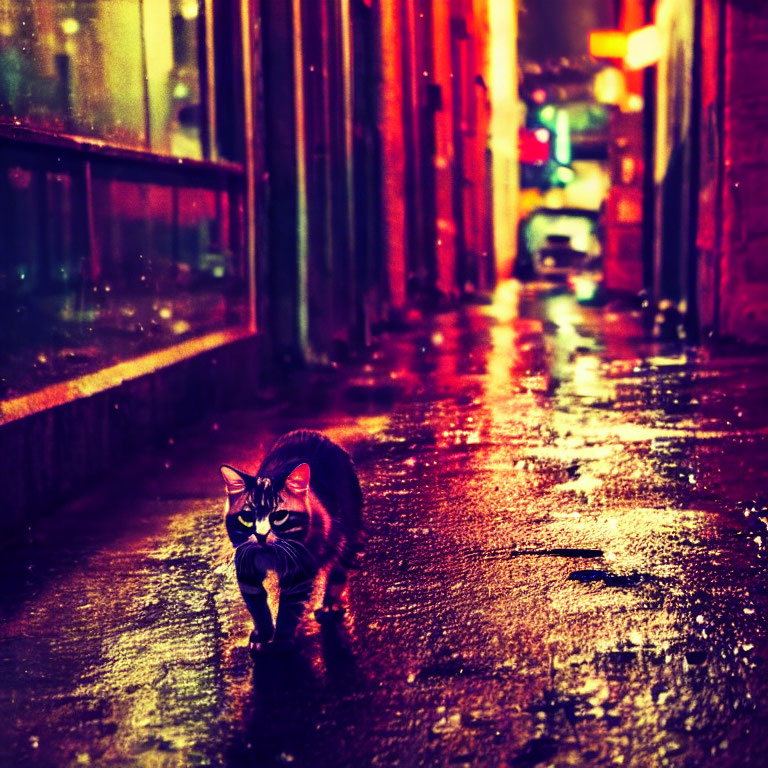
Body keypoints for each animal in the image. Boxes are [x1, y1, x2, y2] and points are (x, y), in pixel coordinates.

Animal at [220, 428, 364, 652]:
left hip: (347, 532)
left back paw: (330, 605)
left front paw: (281, 640)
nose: (261, 535)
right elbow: (257, 607)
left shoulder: (299, 574)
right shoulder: (246, 569)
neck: (269, 555)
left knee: (338, 570)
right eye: (247, 517)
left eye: (279, 516)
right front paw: (263, 635)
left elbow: (288, 610)